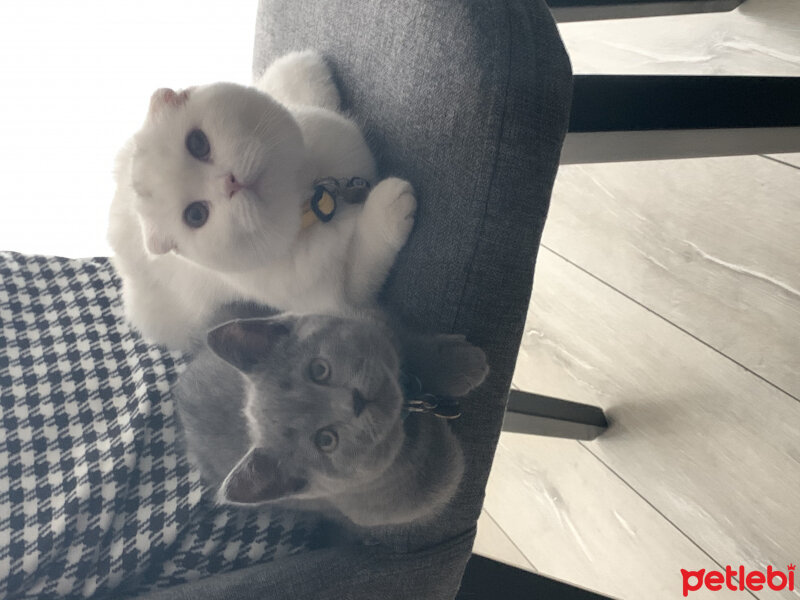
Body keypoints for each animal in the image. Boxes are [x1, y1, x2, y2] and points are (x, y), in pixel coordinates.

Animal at [108, 52, 416, 352]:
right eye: (195, 215)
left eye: (197, 143)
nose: (230, 183)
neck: (313, 194)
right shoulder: (342, 298)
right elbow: (367, 249)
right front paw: (390, 204)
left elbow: (296, 75)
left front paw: (315, 68)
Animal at [174, 308, 488, 528]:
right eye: (326, 440)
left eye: (319, 370)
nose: (355, 402)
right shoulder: (385, 502)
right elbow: (440, 478)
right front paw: (432, 434)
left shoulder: (371, 318)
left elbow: (404, 342)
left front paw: (462, 362)